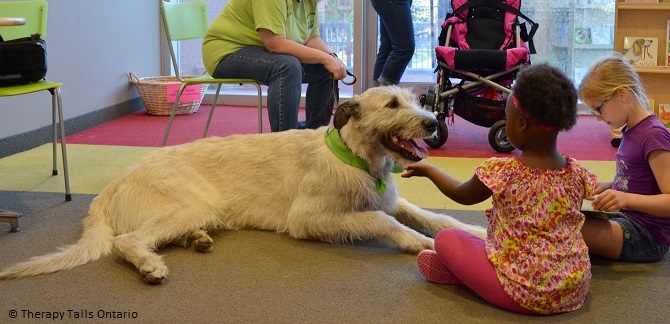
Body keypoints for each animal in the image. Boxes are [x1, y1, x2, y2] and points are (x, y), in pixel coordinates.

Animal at [0, 86, 484, 284]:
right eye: (391, 104)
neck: (357, 159)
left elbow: (427, 214)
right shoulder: (310, 219)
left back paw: (195, 240)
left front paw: (471, 230)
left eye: (417, 100)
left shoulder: (386, 199)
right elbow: (383, 223)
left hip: (191, 212)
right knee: (127, 240)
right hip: (186, 203)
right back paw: (151, 265)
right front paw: (415, 243)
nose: (433, 123)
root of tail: (109, 189)